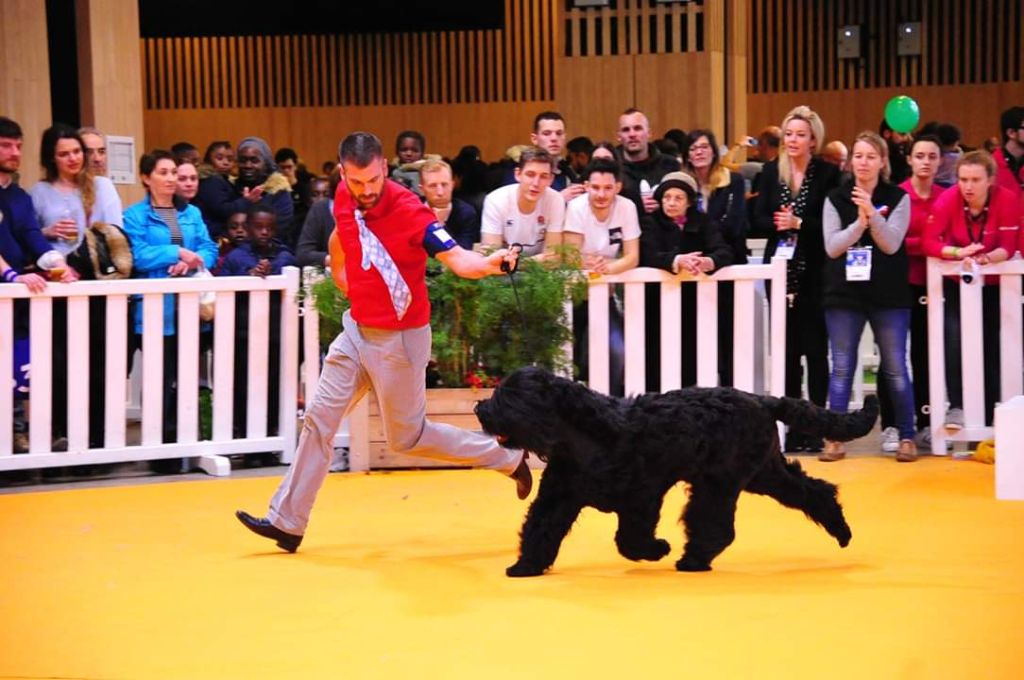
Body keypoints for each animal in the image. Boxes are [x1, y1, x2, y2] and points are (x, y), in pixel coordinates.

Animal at [475, 368, 876, 577]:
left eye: (510, 396)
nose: (480, 409)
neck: (587, 435)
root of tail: (762, 399)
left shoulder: (641, 498)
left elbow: (630, 539)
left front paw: (657, 549)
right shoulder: (558, 497)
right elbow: (539, 528)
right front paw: (525, 565)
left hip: (721, 483)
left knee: (714, 526)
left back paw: (692, 560)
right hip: (764, 474)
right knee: (814, 491)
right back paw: (842, 532)